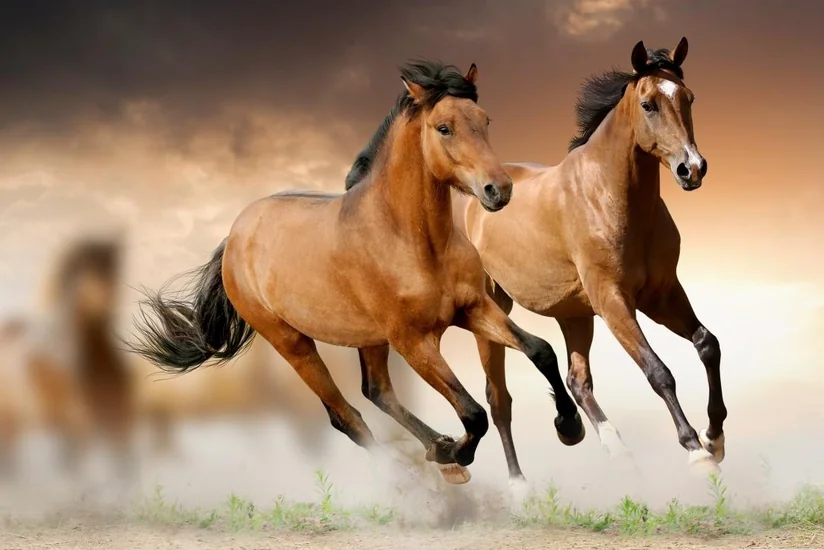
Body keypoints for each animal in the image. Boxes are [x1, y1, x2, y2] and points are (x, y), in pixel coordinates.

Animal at [126, 60, 584, 486]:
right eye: (444, 128)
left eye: (485, 120)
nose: (498, 190)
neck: (413, 240)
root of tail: (235, 237)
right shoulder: (413, 341)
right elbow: (472, 413)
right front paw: (457, 452)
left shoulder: (472, 309)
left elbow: (541, 350)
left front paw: (569, 427)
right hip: (293, 343)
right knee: (346, 416)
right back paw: (419, 472)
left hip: (369, 338)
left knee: (376, 391)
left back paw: (437, 451)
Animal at [451, 37, 725, 483]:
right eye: (648, 104)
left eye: (688, 98)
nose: (692, 168)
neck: (609, 196)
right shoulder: (613, 301)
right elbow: (658, 371)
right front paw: (695, 450)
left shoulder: (662, 294)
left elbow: (707, 345)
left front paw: (714, 437)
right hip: (492, 309)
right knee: (499, 399)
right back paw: (519, 485)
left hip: (574, 314)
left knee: (577, 381)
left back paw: (609, 446)